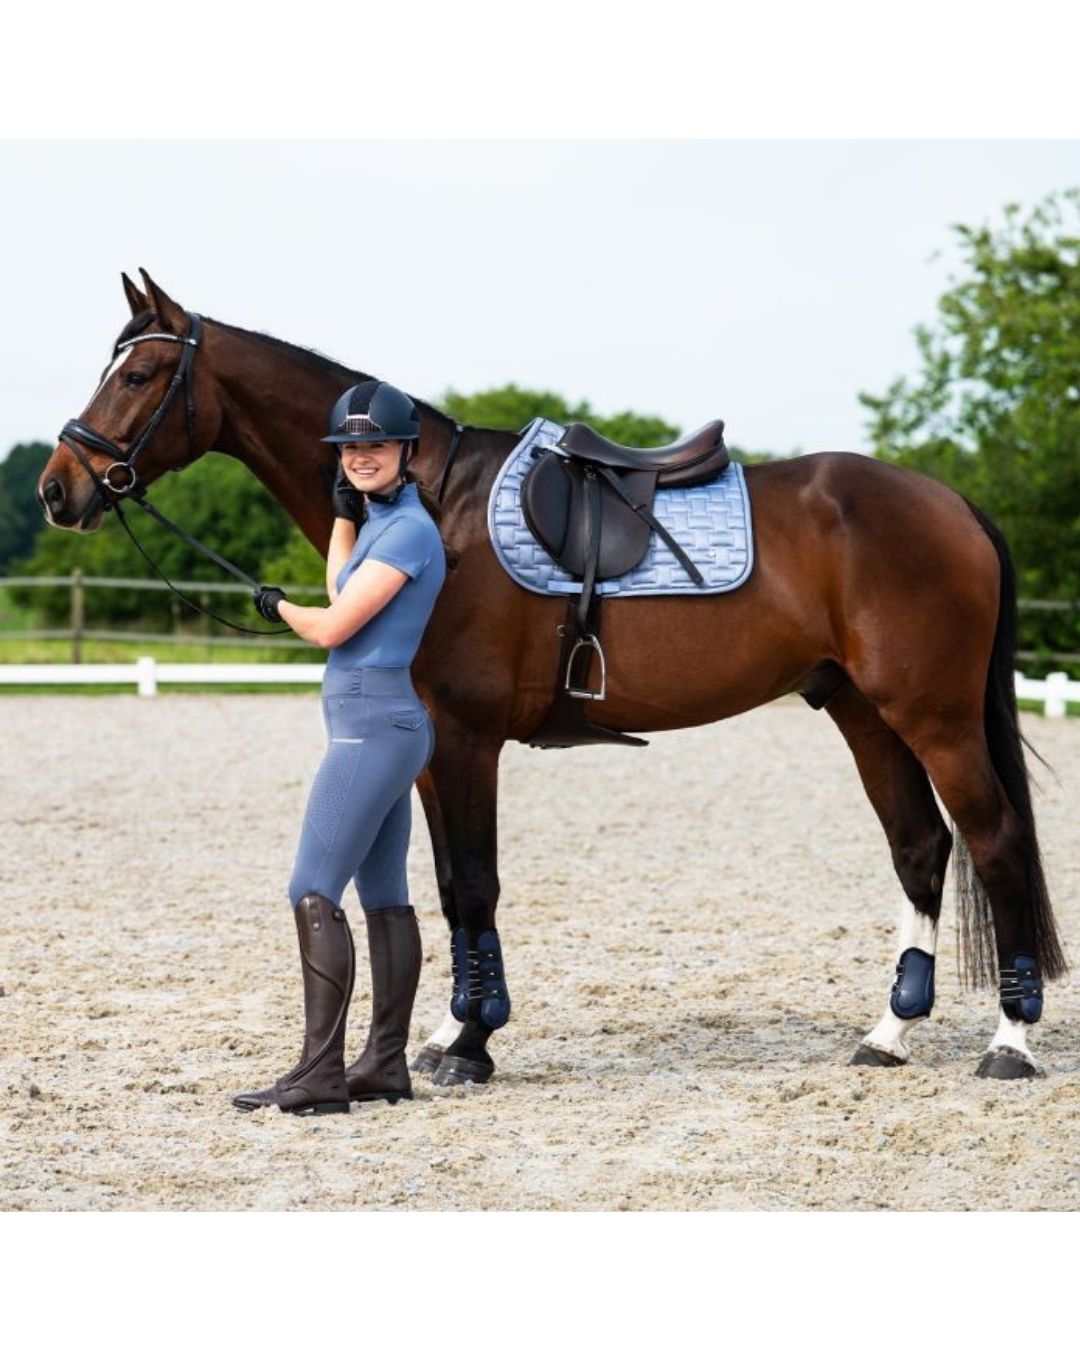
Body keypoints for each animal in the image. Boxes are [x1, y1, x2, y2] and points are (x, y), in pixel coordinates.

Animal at [37, 270, 1067, 1086]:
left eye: (138, 374)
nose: (57, 488)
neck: (434, 503)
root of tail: (949, 502)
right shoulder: (430, 745)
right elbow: (450, 885)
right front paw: (451, 1034)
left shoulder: (465, 737)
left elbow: (472, 886)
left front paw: (468, 1045)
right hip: (860, 709)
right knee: (920, 848)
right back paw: (888, 1033)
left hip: (932, 715)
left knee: (996, 842)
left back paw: (1009, 1042)